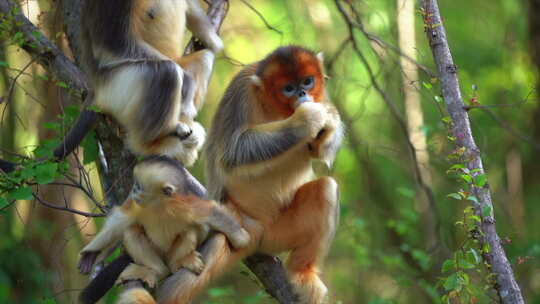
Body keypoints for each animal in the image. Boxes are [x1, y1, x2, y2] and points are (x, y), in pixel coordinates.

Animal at [78, 156, 251, 298]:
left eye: (139, 186)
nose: (133, 190)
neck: (159, 205)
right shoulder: (136, 205)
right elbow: (119, 222)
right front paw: (90, 255)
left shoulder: (186, 202)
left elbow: (211, 213)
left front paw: (241, 238)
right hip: (157, 253)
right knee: (132, 231)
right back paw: (156, 271)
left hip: (170, 254)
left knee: (191, 230)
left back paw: (179, 262)